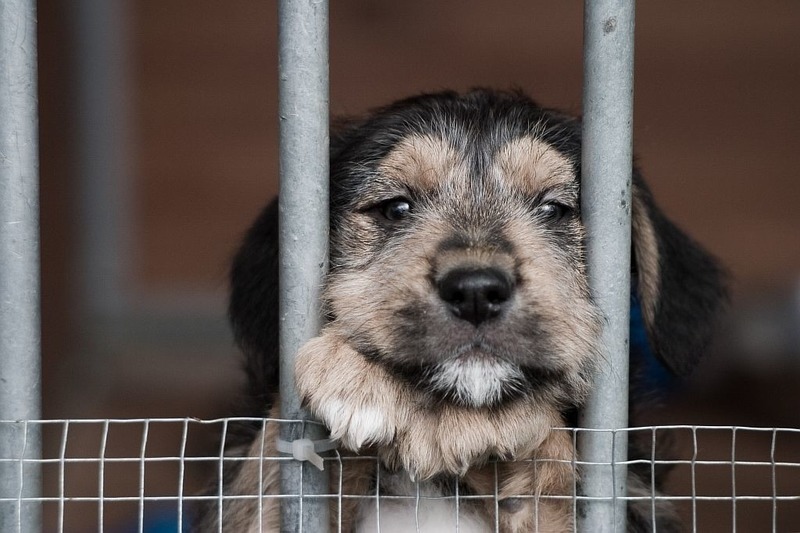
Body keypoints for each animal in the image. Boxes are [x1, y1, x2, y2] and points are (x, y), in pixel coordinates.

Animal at [197, 89, 728, 528]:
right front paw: (357, 373)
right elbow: (273, 467)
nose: (475, 291)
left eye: (553, 209)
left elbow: (558, 474)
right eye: (395, 208)